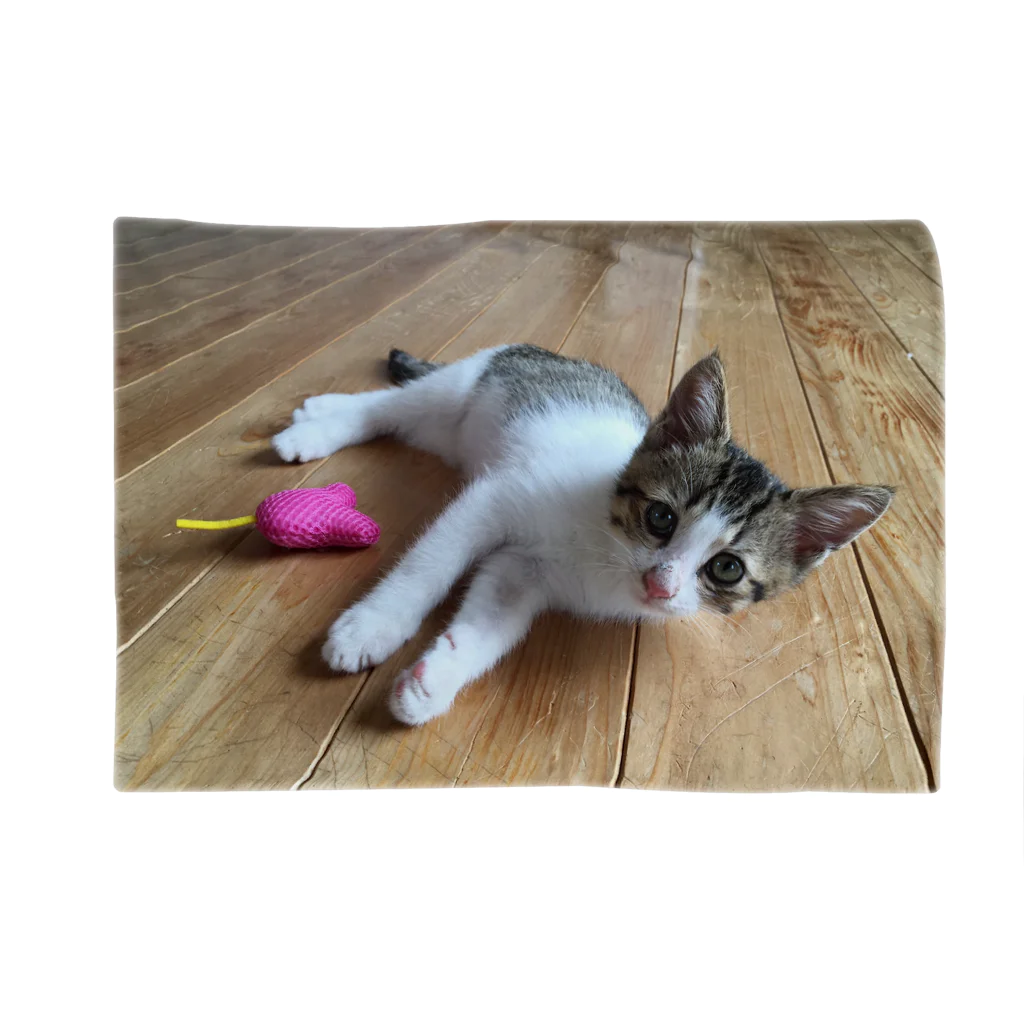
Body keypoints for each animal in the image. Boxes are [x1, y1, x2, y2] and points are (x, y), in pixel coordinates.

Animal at [272, 345, 892, 726]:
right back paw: (319, 423)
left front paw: (434, 680)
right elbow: (428, 565)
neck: (604, 554)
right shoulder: (495, 497)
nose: (661, 585)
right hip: (464, 387)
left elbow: (493, 622)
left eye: (727, 568)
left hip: (443, 433)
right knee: (392, 403)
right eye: (661, 518)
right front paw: (371, 626)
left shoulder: (524, 572)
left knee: (404, 417)